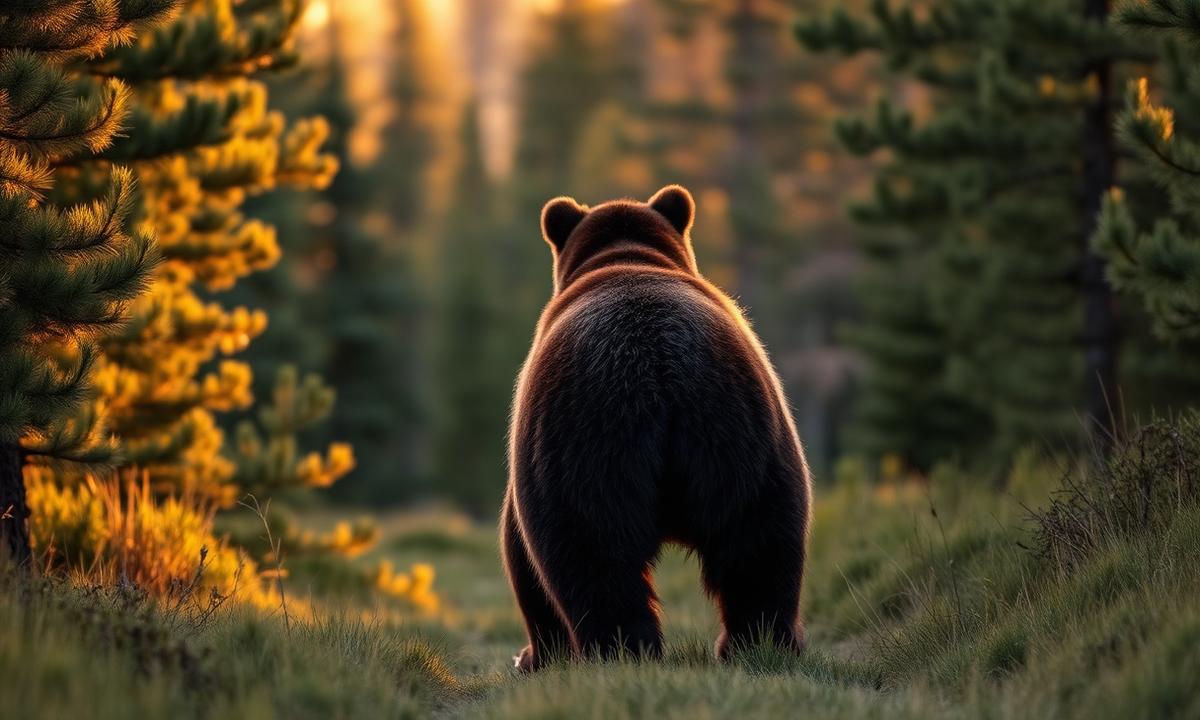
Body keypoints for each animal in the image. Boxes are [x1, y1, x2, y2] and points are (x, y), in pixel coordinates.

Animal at [501, 185, 812, 672]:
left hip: (586, 444)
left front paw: (534, 655)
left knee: (593, 558)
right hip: (746, 438)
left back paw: (618, 651)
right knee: (758, 547)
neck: (626, 256)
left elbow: (521, 549)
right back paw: (757, 643)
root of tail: (659, 371)